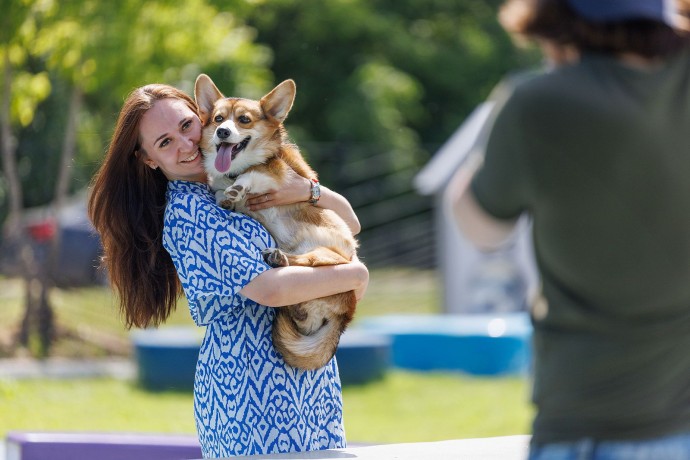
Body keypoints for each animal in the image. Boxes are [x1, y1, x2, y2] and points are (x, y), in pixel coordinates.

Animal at [192, 74, 358, 370]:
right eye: (218, 118)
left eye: (243, 120)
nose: (222, 132)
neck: (233, 169)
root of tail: (345, 314)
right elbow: (221, 190)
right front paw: (228, 197)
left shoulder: (278, 171)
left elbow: (254, 173)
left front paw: (237, 189)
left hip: (327, 255)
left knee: (310, 262)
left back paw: (278, 257)